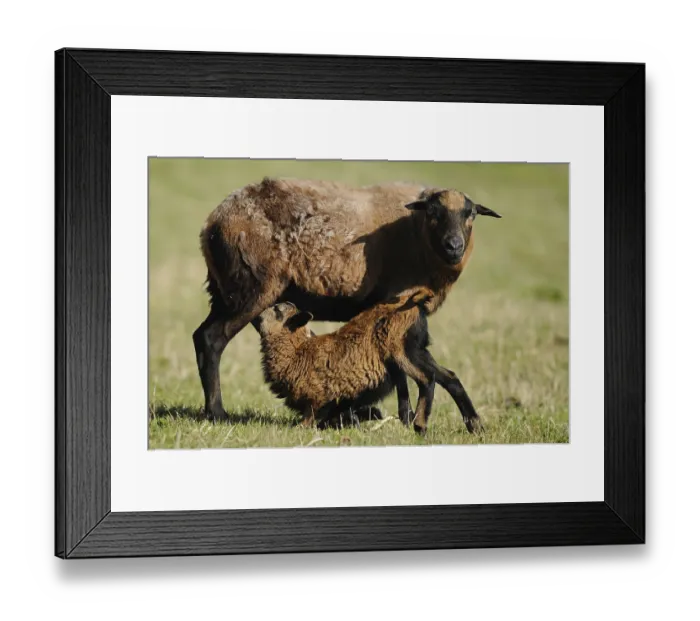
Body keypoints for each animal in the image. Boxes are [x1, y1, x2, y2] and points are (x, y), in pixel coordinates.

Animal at [257, 287, 471, 433]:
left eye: (277, 310)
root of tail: (413, 301)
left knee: (427, 379)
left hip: (402, 351)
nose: (256, 314)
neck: (296, 354)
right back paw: (474, 425)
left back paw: (420, 425)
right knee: (450, 378)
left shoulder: (317, 400)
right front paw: (370, 415)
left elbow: (309, 421)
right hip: (419, 351)